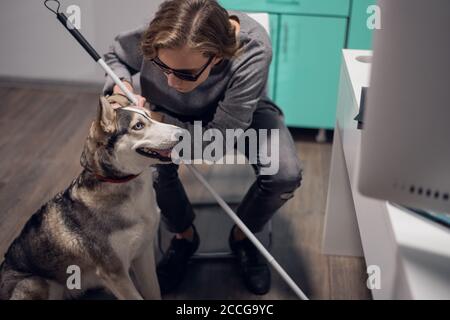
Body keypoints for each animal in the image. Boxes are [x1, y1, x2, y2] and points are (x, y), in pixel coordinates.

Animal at [0, 95, 183, 300]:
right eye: (138, 126)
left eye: (149, 116)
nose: (182, 133)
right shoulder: (114, 273)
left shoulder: (143, 255)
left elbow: (153, 292)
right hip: (34, 282)